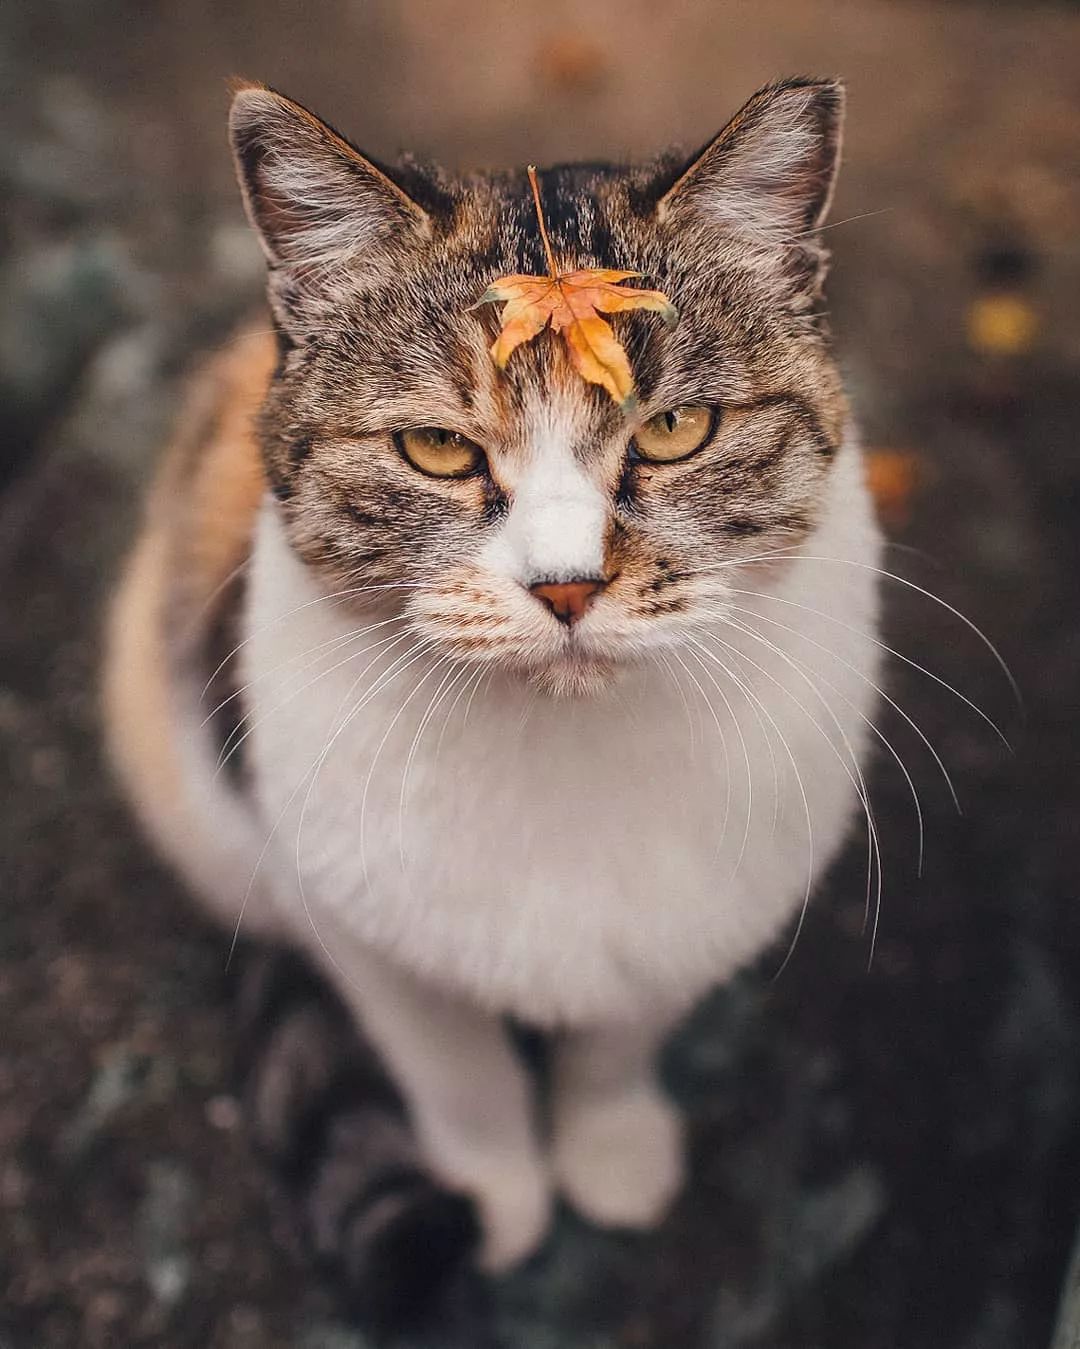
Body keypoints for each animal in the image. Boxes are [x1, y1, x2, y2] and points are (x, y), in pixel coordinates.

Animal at [101, 78, 879, 1332]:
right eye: (435, 447)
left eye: (675, 429)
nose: (566, 583)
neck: (562, 750)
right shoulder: (354, 913)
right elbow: (455, 1068)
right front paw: (499, 1193)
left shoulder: (700, 904)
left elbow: (619, 1040)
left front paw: (610, 1151)